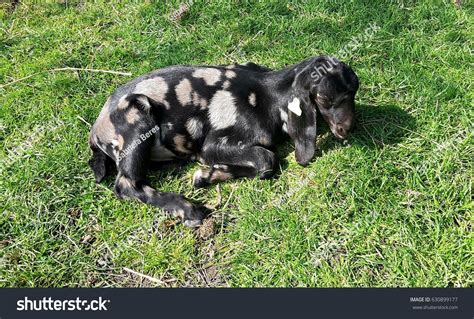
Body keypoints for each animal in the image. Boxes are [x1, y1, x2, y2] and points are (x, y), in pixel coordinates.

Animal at [89, 57, 360, 228]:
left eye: (354, 90)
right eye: (323, 98)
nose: (347, 129)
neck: (267, 93)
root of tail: (96, 130)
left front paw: (208, 176)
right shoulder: (212, 146)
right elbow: (266, 158)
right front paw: (207, 175)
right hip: (137, 120)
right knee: (126, 184)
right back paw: (187, 209)